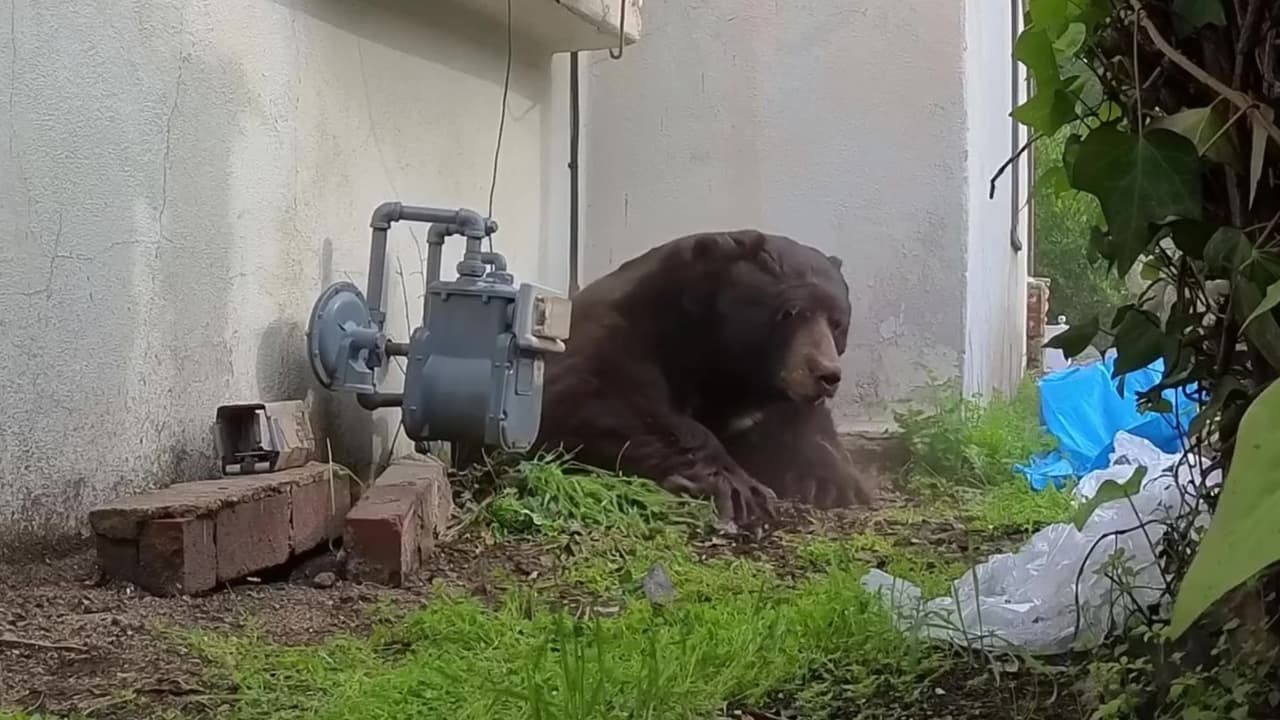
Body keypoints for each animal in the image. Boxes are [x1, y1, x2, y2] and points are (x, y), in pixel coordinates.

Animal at [535, 229, 874, 526]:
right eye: (790, 312)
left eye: (838, 322)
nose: (827, 374)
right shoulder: (619, 327)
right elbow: (594, 393)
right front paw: (739, 489)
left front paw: (836, 481)